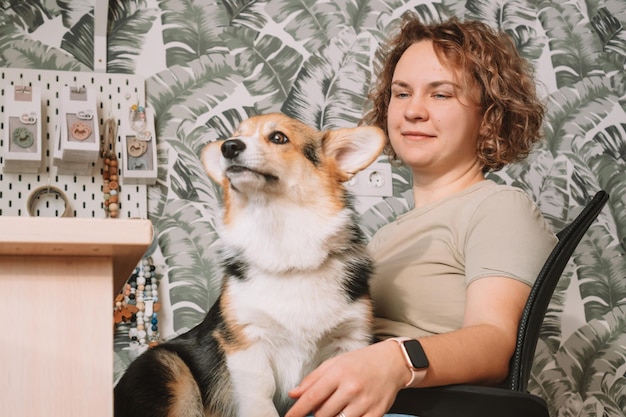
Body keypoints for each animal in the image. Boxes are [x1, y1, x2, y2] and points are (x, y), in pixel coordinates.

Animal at [112, 112, 386, 416]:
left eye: (278, 137)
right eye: (235, 135)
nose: (228, 147)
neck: (283, 244)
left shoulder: (349, 341)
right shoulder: (247, 340)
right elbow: (262, 395)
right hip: (168, 369)